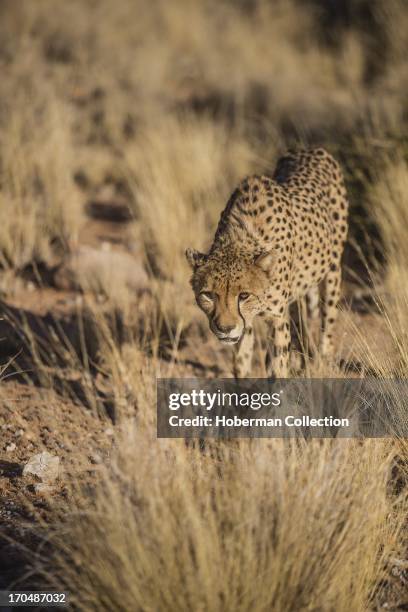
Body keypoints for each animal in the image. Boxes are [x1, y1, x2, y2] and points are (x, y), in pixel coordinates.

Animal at [185, 148, 348, 378]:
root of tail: (310, 149)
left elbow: (277, 366)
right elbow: (241, 362)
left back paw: (322, 362)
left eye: (244, 296)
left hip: (332, 271)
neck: (241, 238)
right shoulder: (246, 323)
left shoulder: (276, 317)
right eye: (208, 295)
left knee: (327, 323)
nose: (225, 329)